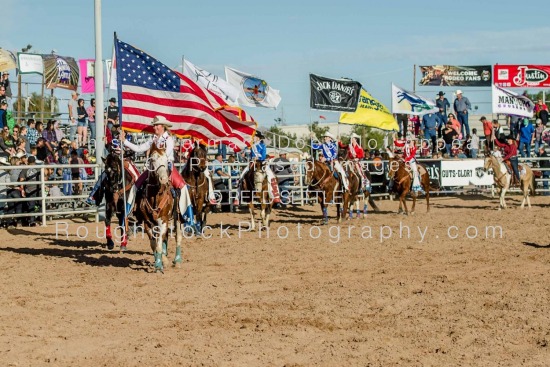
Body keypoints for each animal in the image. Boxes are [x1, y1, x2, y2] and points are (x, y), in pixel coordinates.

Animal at [135, 144, 184, 274]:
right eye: (153, 160)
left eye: (166, 160)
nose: (164, 179)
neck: (155, 195)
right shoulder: (147, 223)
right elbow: (154, 244)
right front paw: (161, 262)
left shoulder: (163, 220)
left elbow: (159, 244)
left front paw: (160, 265)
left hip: (178, 218)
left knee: (178, 237)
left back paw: (177, 261)